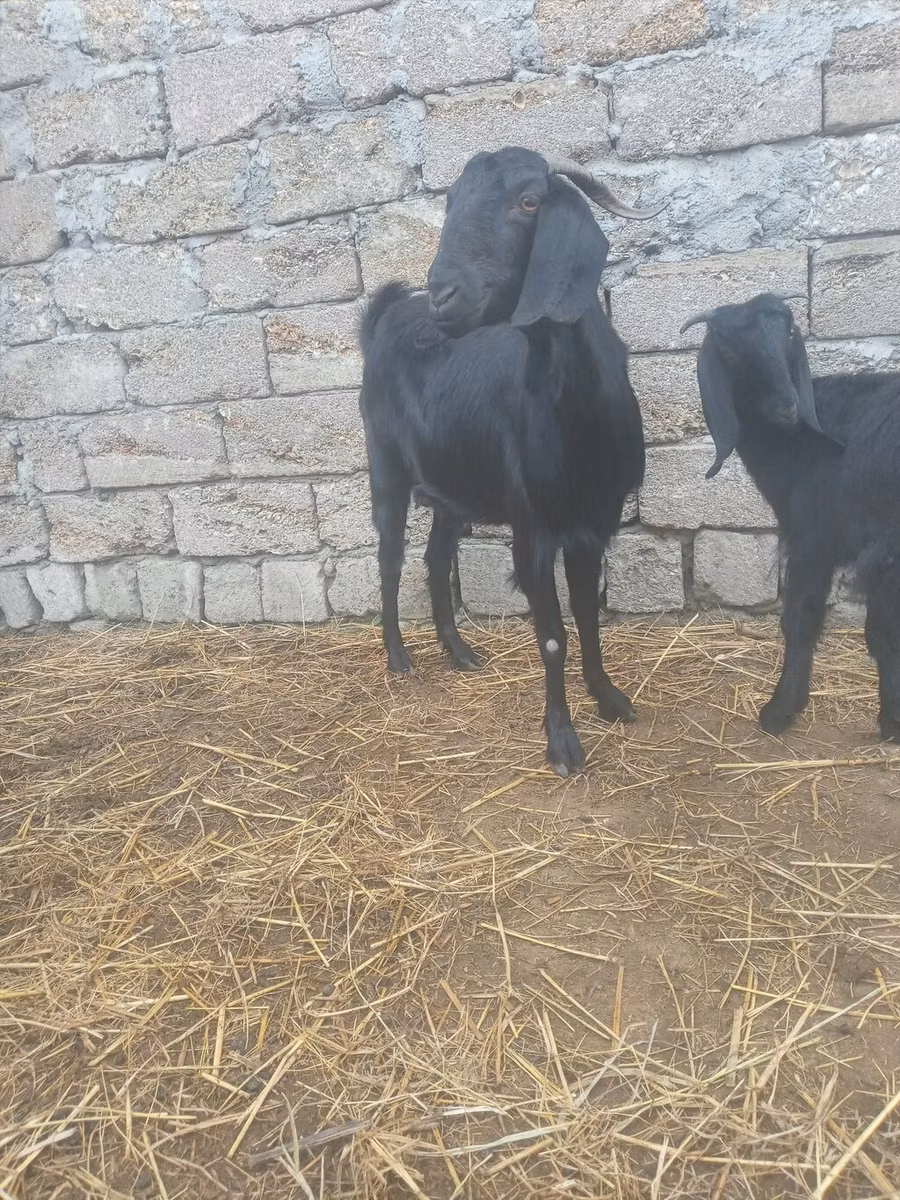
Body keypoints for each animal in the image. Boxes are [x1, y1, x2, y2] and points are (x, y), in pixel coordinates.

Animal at [359, 146, 664, 776]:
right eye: (450, 200)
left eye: (528, 201)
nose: (443, 295)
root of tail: (384, 320)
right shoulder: (533, 528)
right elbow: (552, 635)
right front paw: (563, 743)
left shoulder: (592, 523)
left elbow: (588, 615)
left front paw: (609, 698)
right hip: (386, 470)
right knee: (390, 559)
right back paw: (398, 657)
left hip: (453, 488)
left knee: (434, 558)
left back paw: (459, 652)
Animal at [683, 292, 900, 741]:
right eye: (729, 352)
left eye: (787, 333)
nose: (787, 406)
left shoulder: (822, 542)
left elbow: (808, 622)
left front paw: (780, 711)